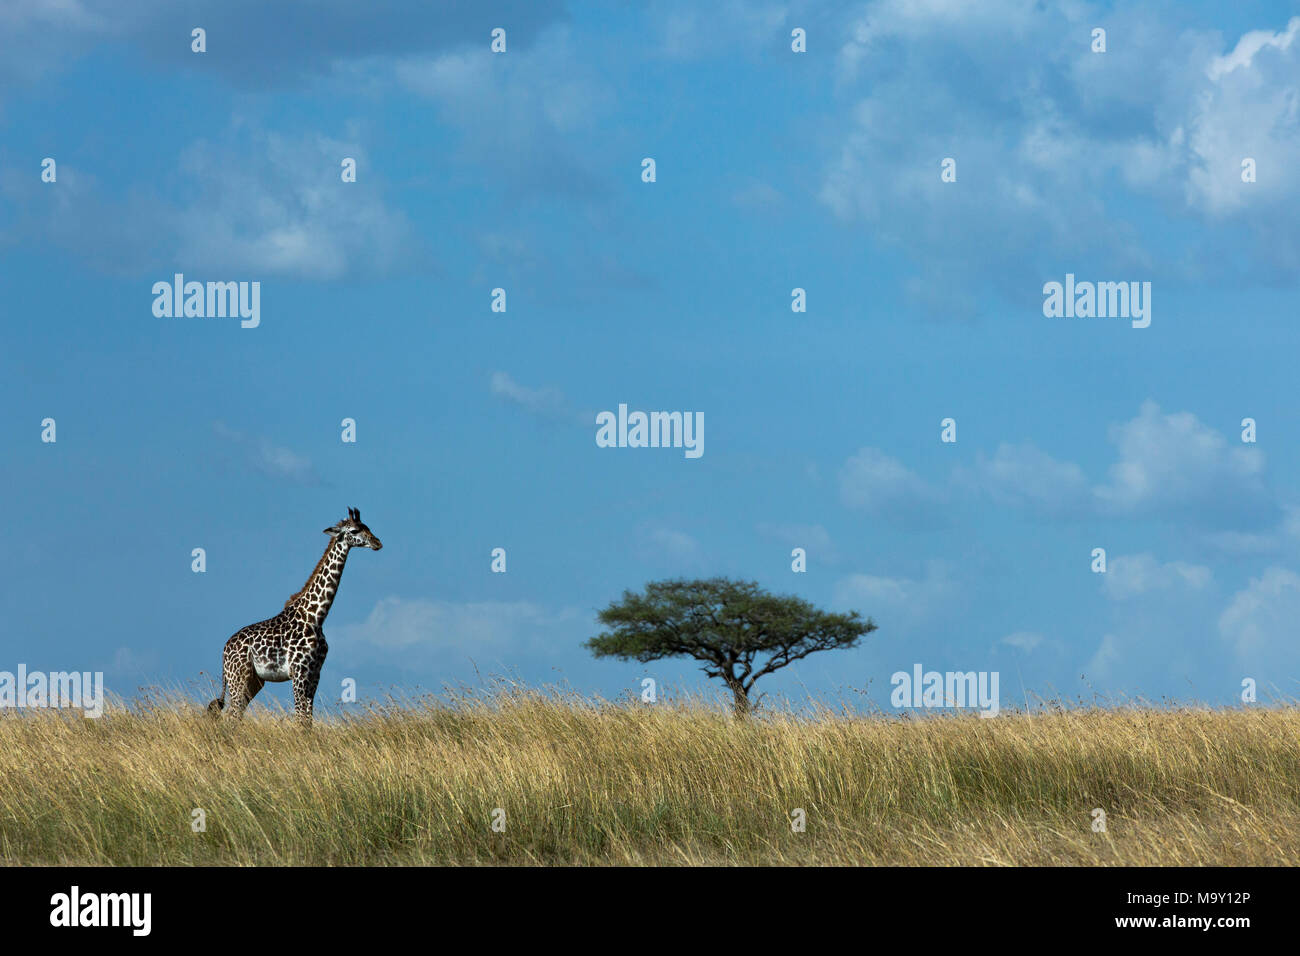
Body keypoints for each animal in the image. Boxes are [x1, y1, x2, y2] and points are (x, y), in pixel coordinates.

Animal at [208, 509, 379, 723]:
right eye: (355, 530)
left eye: (368, 527)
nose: (377, 543)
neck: (316, 616)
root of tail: (224, 651)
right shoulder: (298, 672)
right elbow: (300, 718)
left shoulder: (315, 673)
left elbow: (307, 720)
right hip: (238, 677)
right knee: (231, 716)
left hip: (254, 681)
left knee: (236, 715)